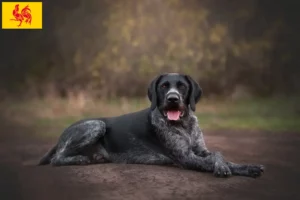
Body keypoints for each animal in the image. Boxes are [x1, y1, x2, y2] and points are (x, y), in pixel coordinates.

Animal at [38, 73, 264, 178]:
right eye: (164, 86)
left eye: (182, 86)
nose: (173, 99)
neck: (184, 124)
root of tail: (62, 134)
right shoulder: (185, 157)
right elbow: (212, 160)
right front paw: (223, 169)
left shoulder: (201, 150)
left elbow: (219, 155)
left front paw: (246, 167)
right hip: (97, 124)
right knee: (57, 158)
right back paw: (79, 159)